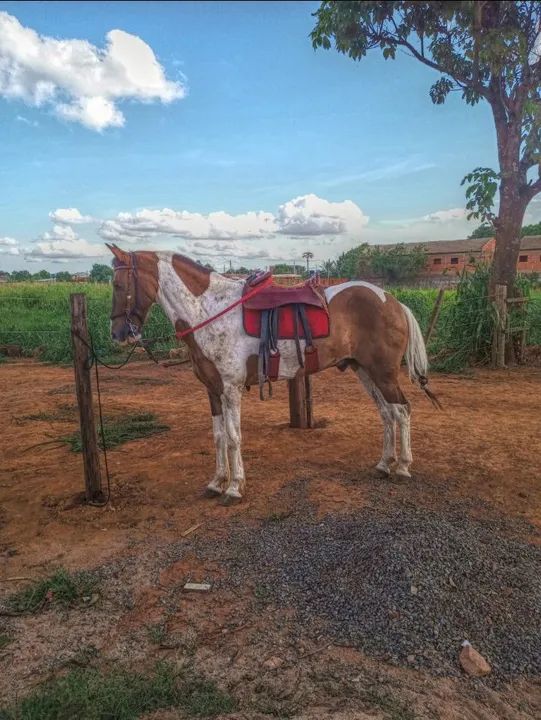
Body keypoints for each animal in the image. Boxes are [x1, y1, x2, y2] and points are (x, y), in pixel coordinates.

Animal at [107, 244, 440, 504]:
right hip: (365, 372)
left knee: (402, 411)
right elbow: (218, 437)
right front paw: (217, 482)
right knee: (387, 414)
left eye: (118, 285)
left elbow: (233, 437)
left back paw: (403, 467)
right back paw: (384, 464)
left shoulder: (231, 389)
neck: (209, 310)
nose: (118, 334)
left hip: (384, 374)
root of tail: (393, 301)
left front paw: (235, 487)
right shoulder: (213, 390)